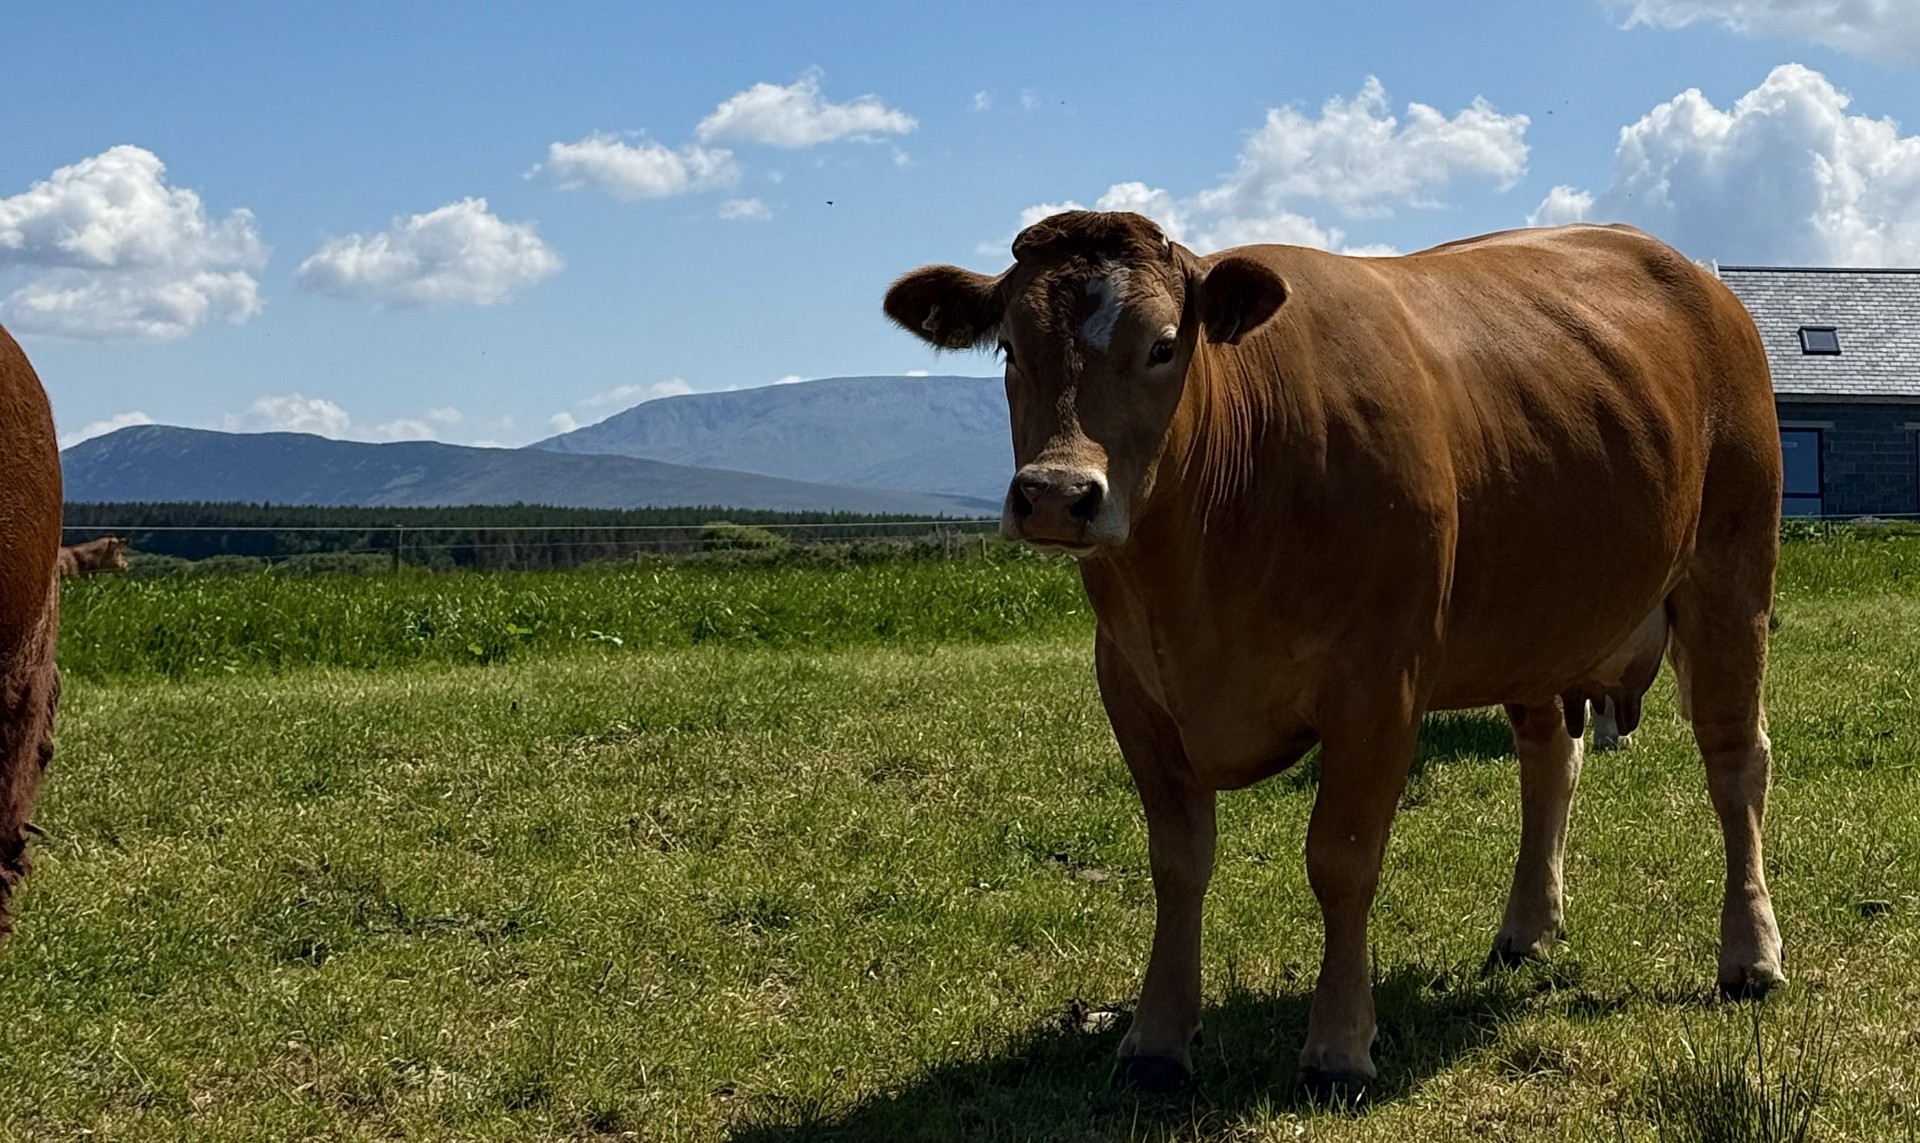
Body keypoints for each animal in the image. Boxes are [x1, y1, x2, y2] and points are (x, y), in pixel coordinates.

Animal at [884, 212, 1783, 1095]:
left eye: (1165, 344)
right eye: (1010, 347)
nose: (1056, 495)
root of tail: (1696, 277)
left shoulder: (1379, 686)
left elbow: (1342, 859)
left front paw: (1340, 1045)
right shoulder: (1132, 688)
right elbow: (1178, 863)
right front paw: (1157, 1038)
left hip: (1731, 571)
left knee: (1735, 758)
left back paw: (1750, 953)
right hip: (1536, 615)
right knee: (1549, 760)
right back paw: (1527, 928)